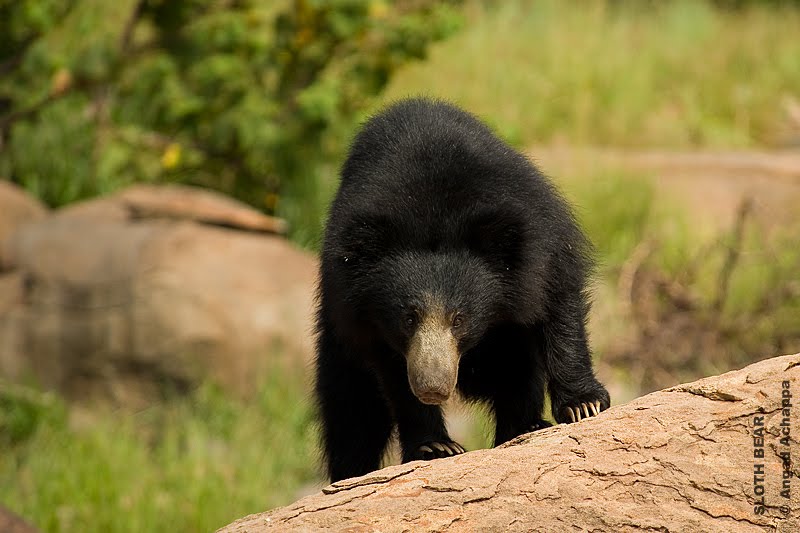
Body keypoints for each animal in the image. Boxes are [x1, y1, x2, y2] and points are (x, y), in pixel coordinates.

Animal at [315, 98, 610, 482]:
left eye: (459, 319)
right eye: (409, 318)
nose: (432, 387)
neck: (432, 218)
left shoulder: (540, 244)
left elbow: (559, 309)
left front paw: (584, 405)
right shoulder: (359, 312)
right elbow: (393, 379)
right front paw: (435, 447)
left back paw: (525, 426)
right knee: (350, 414)